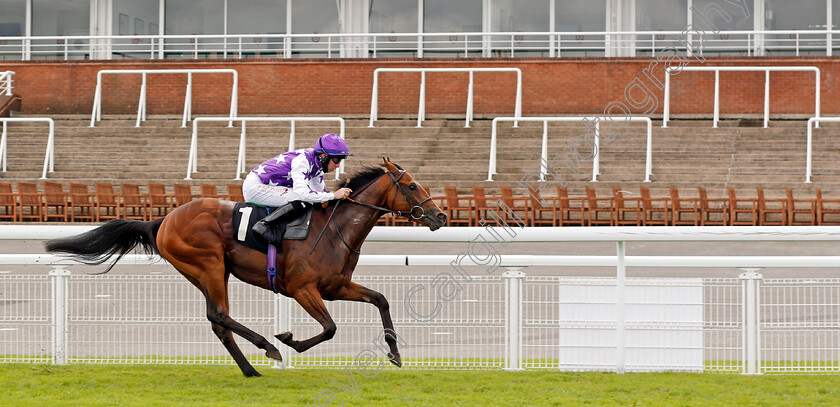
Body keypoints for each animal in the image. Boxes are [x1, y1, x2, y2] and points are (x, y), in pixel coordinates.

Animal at [46, 160, 450, 380]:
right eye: (413, 185)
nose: (441, 216)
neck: (334, 229)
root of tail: (164, 219)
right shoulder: (303, 289)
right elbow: (330, 328)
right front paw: (289, 341)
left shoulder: (336, 287)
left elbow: (380, 299)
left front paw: (395, 354)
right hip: (209, 264)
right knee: (219, 315)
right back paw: (267, 348)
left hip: (208, 272)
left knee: (217, 320)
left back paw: (250, 368)